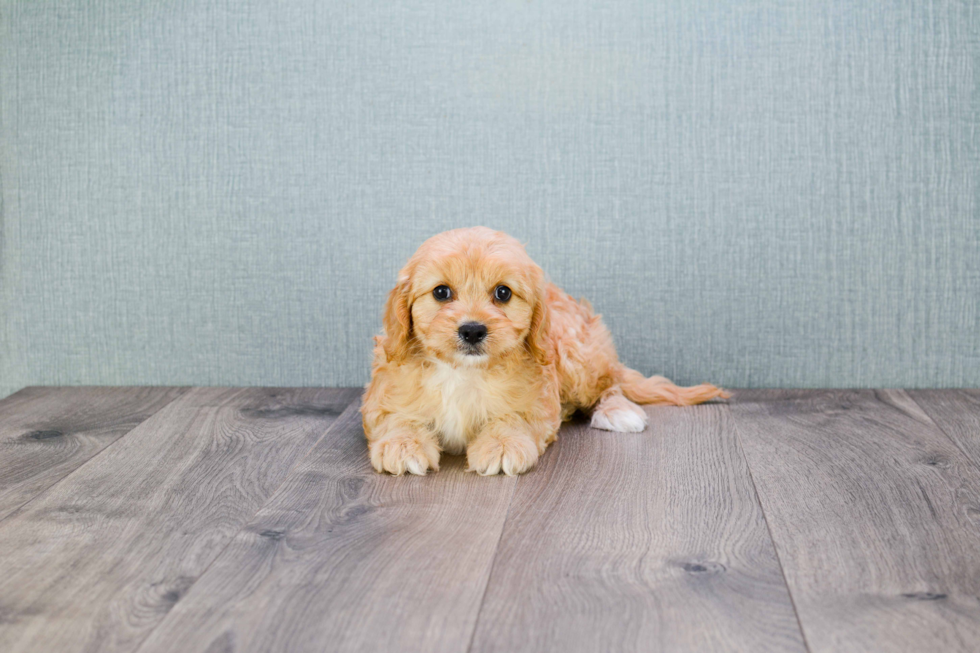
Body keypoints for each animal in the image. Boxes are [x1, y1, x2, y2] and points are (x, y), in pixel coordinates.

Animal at [360, 227, 728, 476]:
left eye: (503, 293)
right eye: (441, 292)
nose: (473, 330)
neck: (463, 371)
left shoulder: (537, 401)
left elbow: (514, 416)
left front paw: (502, 444)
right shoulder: (383, 394)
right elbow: (395, 417)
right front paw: (403, 444)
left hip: (579, 358)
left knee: (610, 384)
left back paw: (618, 411)